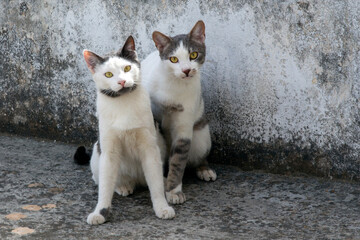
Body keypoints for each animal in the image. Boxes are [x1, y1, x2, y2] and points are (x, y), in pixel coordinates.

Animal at [80, 36, 176, 225]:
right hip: (97, 153)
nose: (122, 81)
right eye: (108, 74)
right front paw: (100, 212)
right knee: (100, 178)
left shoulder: (150, 147)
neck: (123, 103)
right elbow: (104, 187)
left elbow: (155, 184)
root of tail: (136, 180)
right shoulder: (108, 150)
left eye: (127, 68)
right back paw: (122, 186)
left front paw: (162, 207)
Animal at [142, 21, 217, 204]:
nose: (186, 70)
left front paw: (174, 191)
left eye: (194, 55)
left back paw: (204, 169)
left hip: (201, 136)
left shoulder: (184, 127)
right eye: (173, 59)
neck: (174, 86)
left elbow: (178, 160)